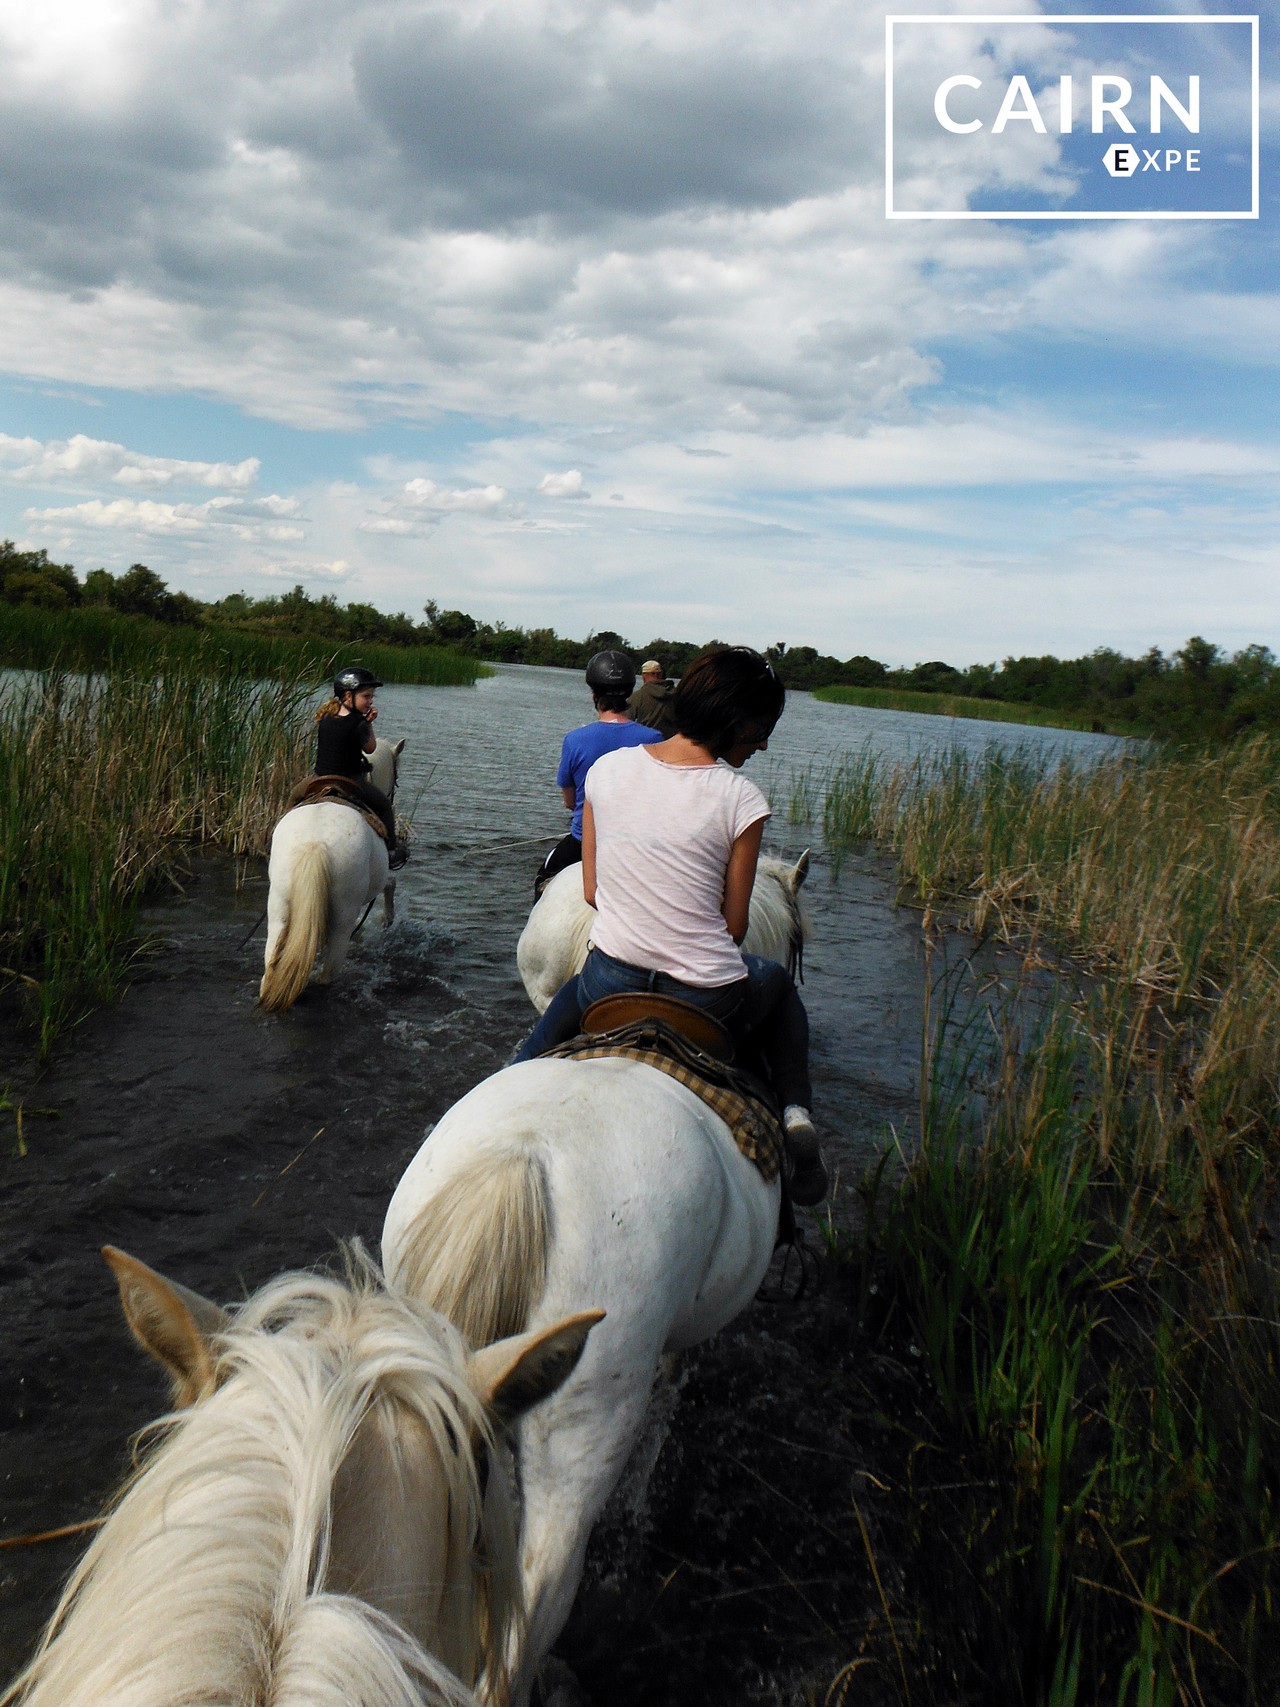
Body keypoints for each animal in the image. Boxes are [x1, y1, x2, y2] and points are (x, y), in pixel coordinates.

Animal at [257, 737, 402, 1010]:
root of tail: (315, 843)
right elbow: (391, 882)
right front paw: (387, 919)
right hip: (342, 919)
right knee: (330, 971)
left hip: (279, 908)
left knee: (270, 962)